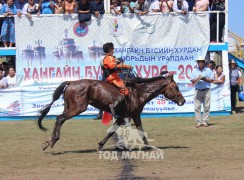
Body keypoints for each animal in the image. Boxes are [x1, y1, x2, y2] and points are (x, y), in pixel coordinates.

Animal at [36, 71, 185, 151]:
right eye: (176, 87)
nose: (182, 101)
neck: (138, 92)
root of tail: (71, 82)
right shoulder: (124, 115)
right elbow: (113, 130)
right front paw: (101, 145)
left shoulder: (134, 115)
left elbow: (139, 131)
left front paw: (148, 146)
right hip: (77, 108)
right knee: (60, 118)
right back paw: (51, 141)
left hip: (69, 107)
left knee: (59, 118)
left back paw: (49, 141)